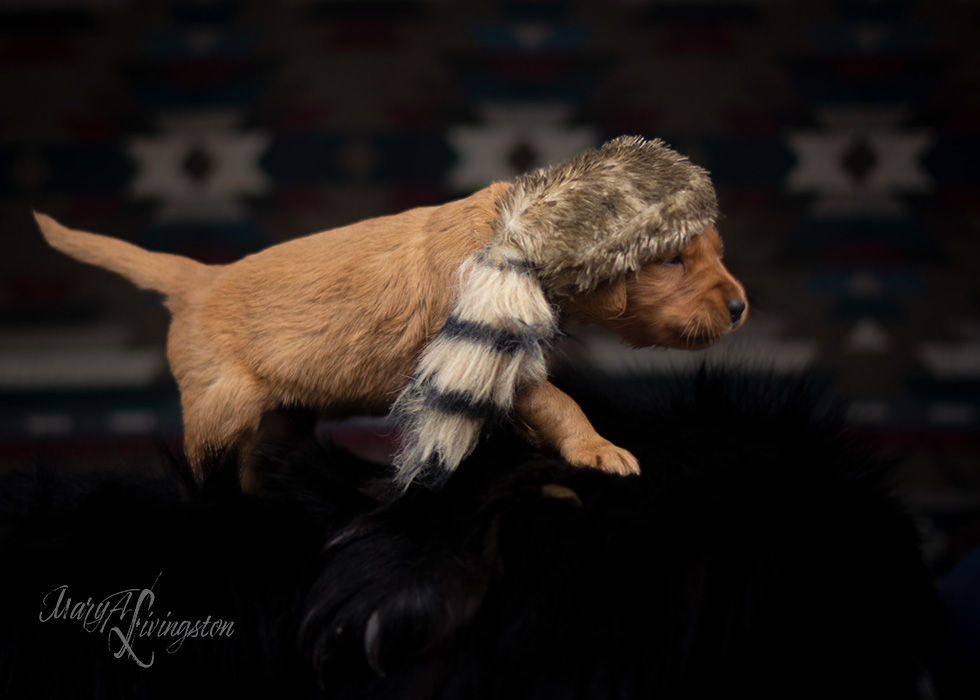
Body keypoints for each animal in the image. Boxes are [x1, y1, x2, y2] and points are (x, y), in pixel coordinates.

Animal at [34, 137, 748, 486]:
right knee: (205, 462)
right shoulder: (498, 355)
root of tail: (199, 279)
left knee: (254, 459)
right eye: (672, 260)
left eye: (716, 252)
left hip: (287, 411)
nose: (741, 307)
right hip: (221, 401)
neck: (514, 226)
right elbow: (560, 400)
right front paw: (598, 449)